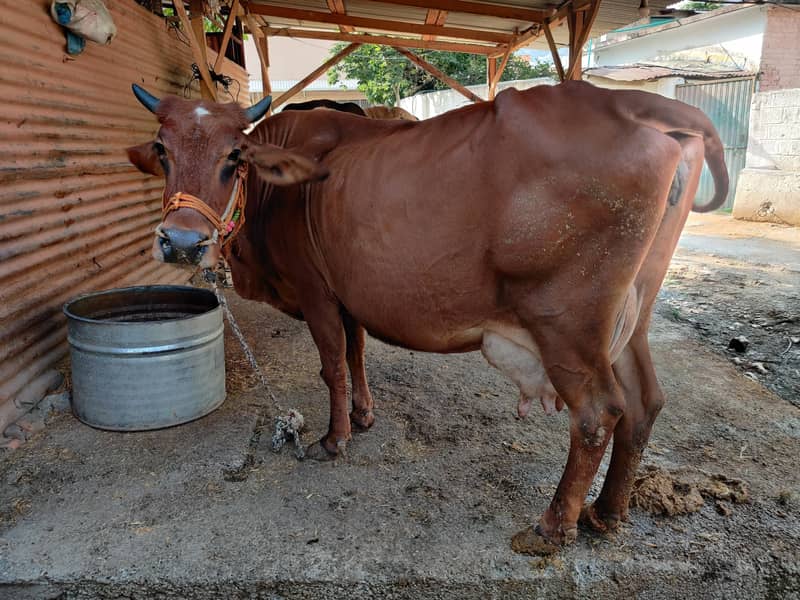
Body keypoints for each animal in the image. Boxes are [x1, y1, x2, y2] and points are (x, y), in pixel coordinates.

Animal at [126, 81, 727, 554]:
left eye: (235, 157)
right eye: (162, 149)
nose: (182, 242)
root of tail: (632, 102)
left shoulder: (316, 292)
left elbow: (332, 366)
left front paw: (334, 439)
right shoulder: (349, 294)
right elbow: (356, 353)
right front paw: (364, 416)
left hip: (568, 324)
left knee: (599, 413)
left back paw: (553, 527)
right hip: (631, 316)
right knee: (645, 402)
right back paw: (607, 513)